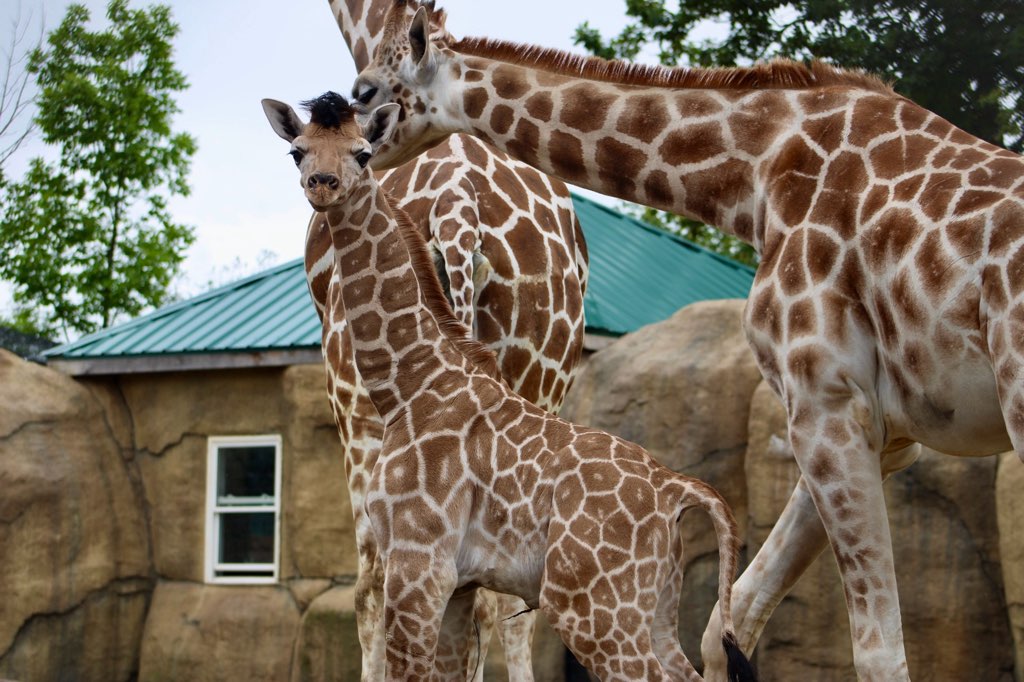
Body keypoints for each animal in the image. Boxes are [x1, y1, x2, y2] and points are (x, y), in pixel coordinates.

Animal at [264, 92, 757, 682]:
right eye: (297, 151)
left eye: (363, 153)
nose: (322, 185)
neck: (413, 382)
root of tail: (675, 490)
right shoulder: (455, 580)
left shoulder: (417, 559)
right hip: (654, 601)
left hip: (593, 607)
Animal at [351, 3, 1024, 679]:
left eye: (365, 92)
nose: (357, 160)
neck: (753, 174)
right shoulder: (878, 430)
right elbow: (728, 626)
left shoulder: (825, 402)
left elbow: (876, 650)